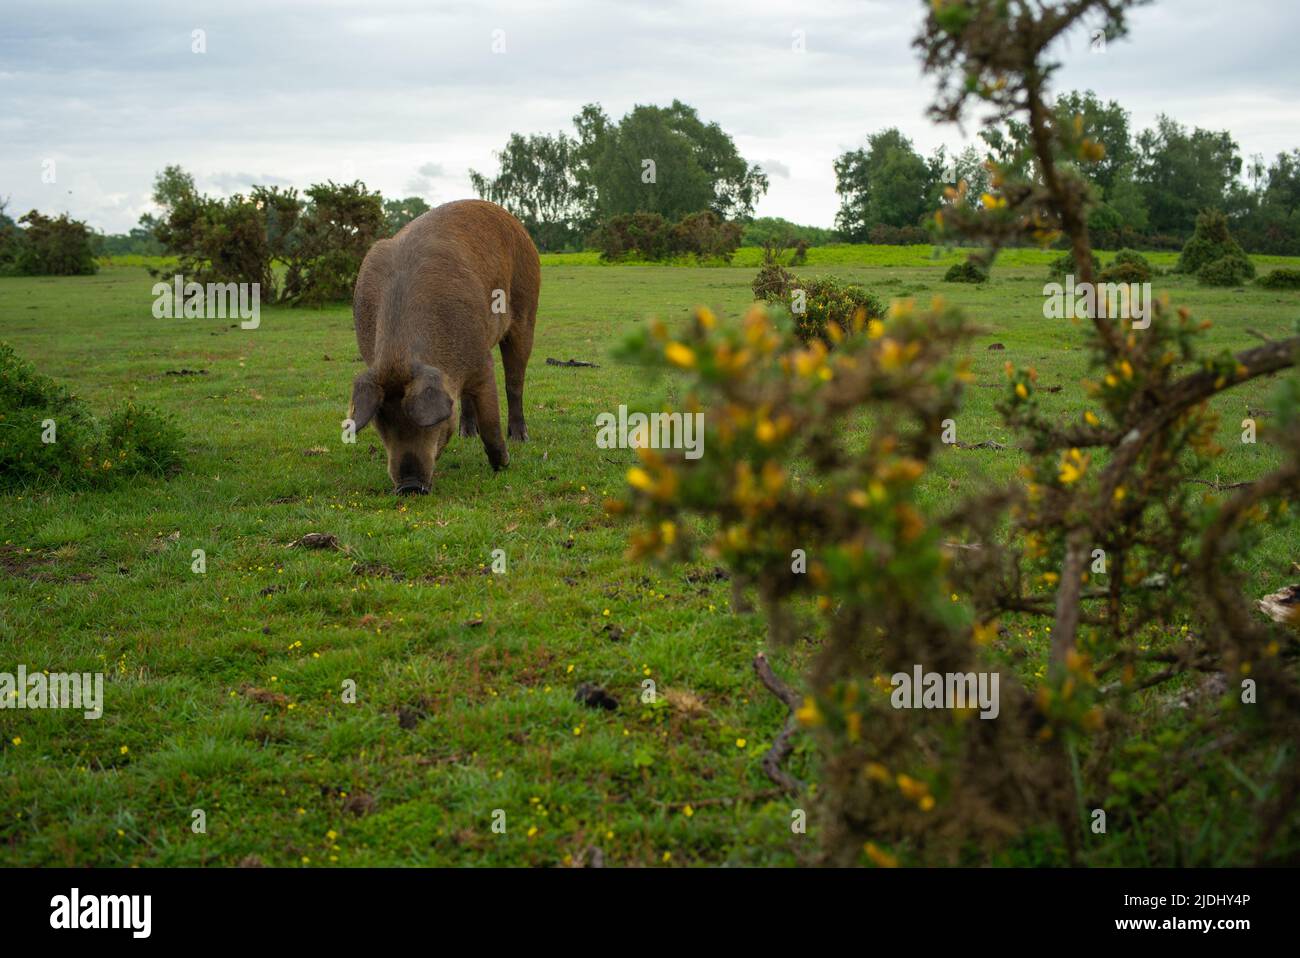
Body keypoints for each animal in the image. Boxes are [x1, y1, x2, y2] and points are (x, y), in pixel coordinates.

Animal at [345, 196, 538, 493]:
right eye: (381, 423)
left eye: (433, 422)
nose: (409, 486)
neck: (400, 356)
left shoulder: (482, 360)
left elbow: (491, 418)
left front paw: (503, 463)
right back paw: (467, 434)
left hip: (527, 308)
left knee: (514, 383)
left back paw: (520, 438)